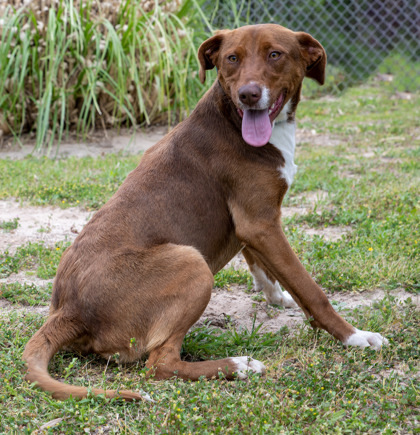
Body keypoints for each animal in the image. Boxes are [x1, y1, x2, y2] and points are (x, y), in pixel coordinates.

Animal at [23, 23, 388, 402]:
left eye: (275, 54)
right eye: (232, 58)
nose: (248, 94)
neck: (232, 119)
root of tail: (68, 311)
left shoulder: (251, 227)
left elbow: (266, 270)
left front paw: (278, 298)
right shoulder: (261, 223)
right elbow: (312, 290)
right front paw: (354, 337)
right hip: (191, 263)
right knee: (160, 364)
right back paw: (239, 365)